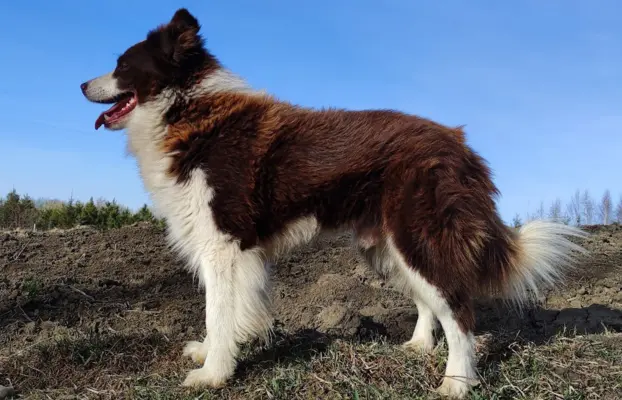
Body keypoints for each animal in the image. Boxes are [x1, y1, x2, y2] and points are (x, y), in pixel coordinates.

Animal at [79, 8, 588, 396]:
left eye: (122, 65)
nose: (81, 85)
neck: (188, 110)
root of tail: (460, 144)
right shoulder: (226, 247)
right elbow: (222, 309)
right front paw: (213, 353)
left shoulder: (224, 244)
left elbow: (217, 310)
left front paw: (213, 373)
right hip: (385, 246)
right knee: (431, 302)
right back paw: (418, 346)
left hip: (418, 236)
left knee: (459, 311)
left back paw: (456, 383)